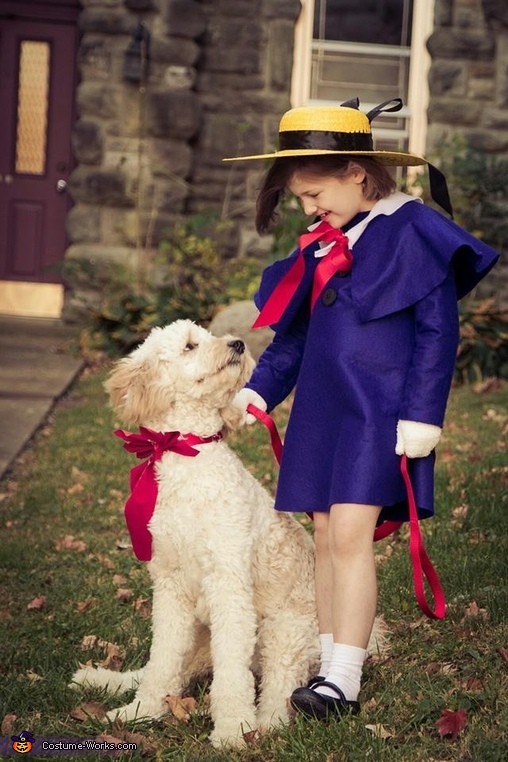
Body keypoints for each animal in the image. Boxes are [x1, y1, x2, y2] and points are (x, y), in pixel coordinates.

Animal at [70, 318, 380, 744]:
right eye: (189, 345)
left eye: (208, 336)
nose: (237, 344)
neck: (189, 456)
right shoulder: (170, 587)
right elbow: (162, 660)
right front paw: (141, 711)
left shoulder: (228, 583)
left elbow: (231, 673)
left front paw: (233, 727)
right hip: (202, 635)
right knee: (162, 669)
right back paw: (103, 680)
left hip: (284, 633)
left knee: (280, 687)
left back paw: (267, 724)